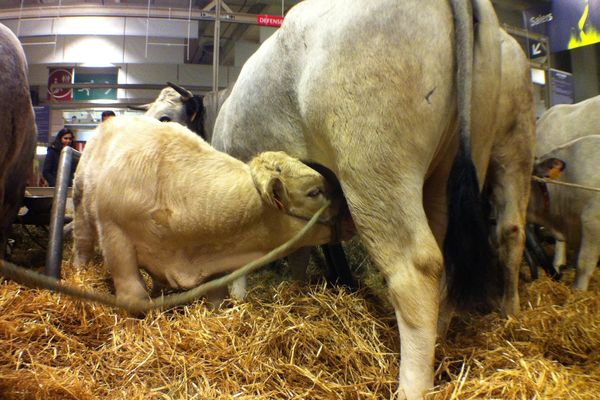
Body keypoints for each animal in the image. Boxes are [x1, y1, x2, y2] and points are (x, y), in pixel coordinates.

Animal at [74, 115, 346, 306]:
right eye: (314, 192)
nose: (347, 211)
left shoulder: (215, 259)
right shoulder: (115, 238)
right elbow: (134, 296)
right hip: (81, 207)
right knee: (82, 244)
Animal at [210, 1, 536, 398]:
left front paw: (238, 299)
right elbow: (298, 250)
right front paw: (294, 290)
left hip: (374, 162)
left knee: (416, 268)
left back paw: (412, 385)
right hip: (473, 158)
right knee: (495, 236)